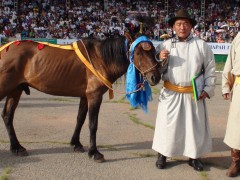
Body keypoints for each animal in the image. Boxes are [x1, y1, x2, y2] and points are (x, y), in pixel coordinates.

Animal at [0, 33, 161, 162]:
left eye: (154, 52)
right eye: (138, 53)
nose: (155, 77)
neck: (100, 59)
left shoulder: (85, 96)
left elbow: (80, 119)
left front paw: (76, 143)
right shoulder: (94, 96)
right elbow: (92, 124)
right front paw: (94, 153)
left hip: (16, 89)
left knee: (7, 115)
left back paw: (17, 147)